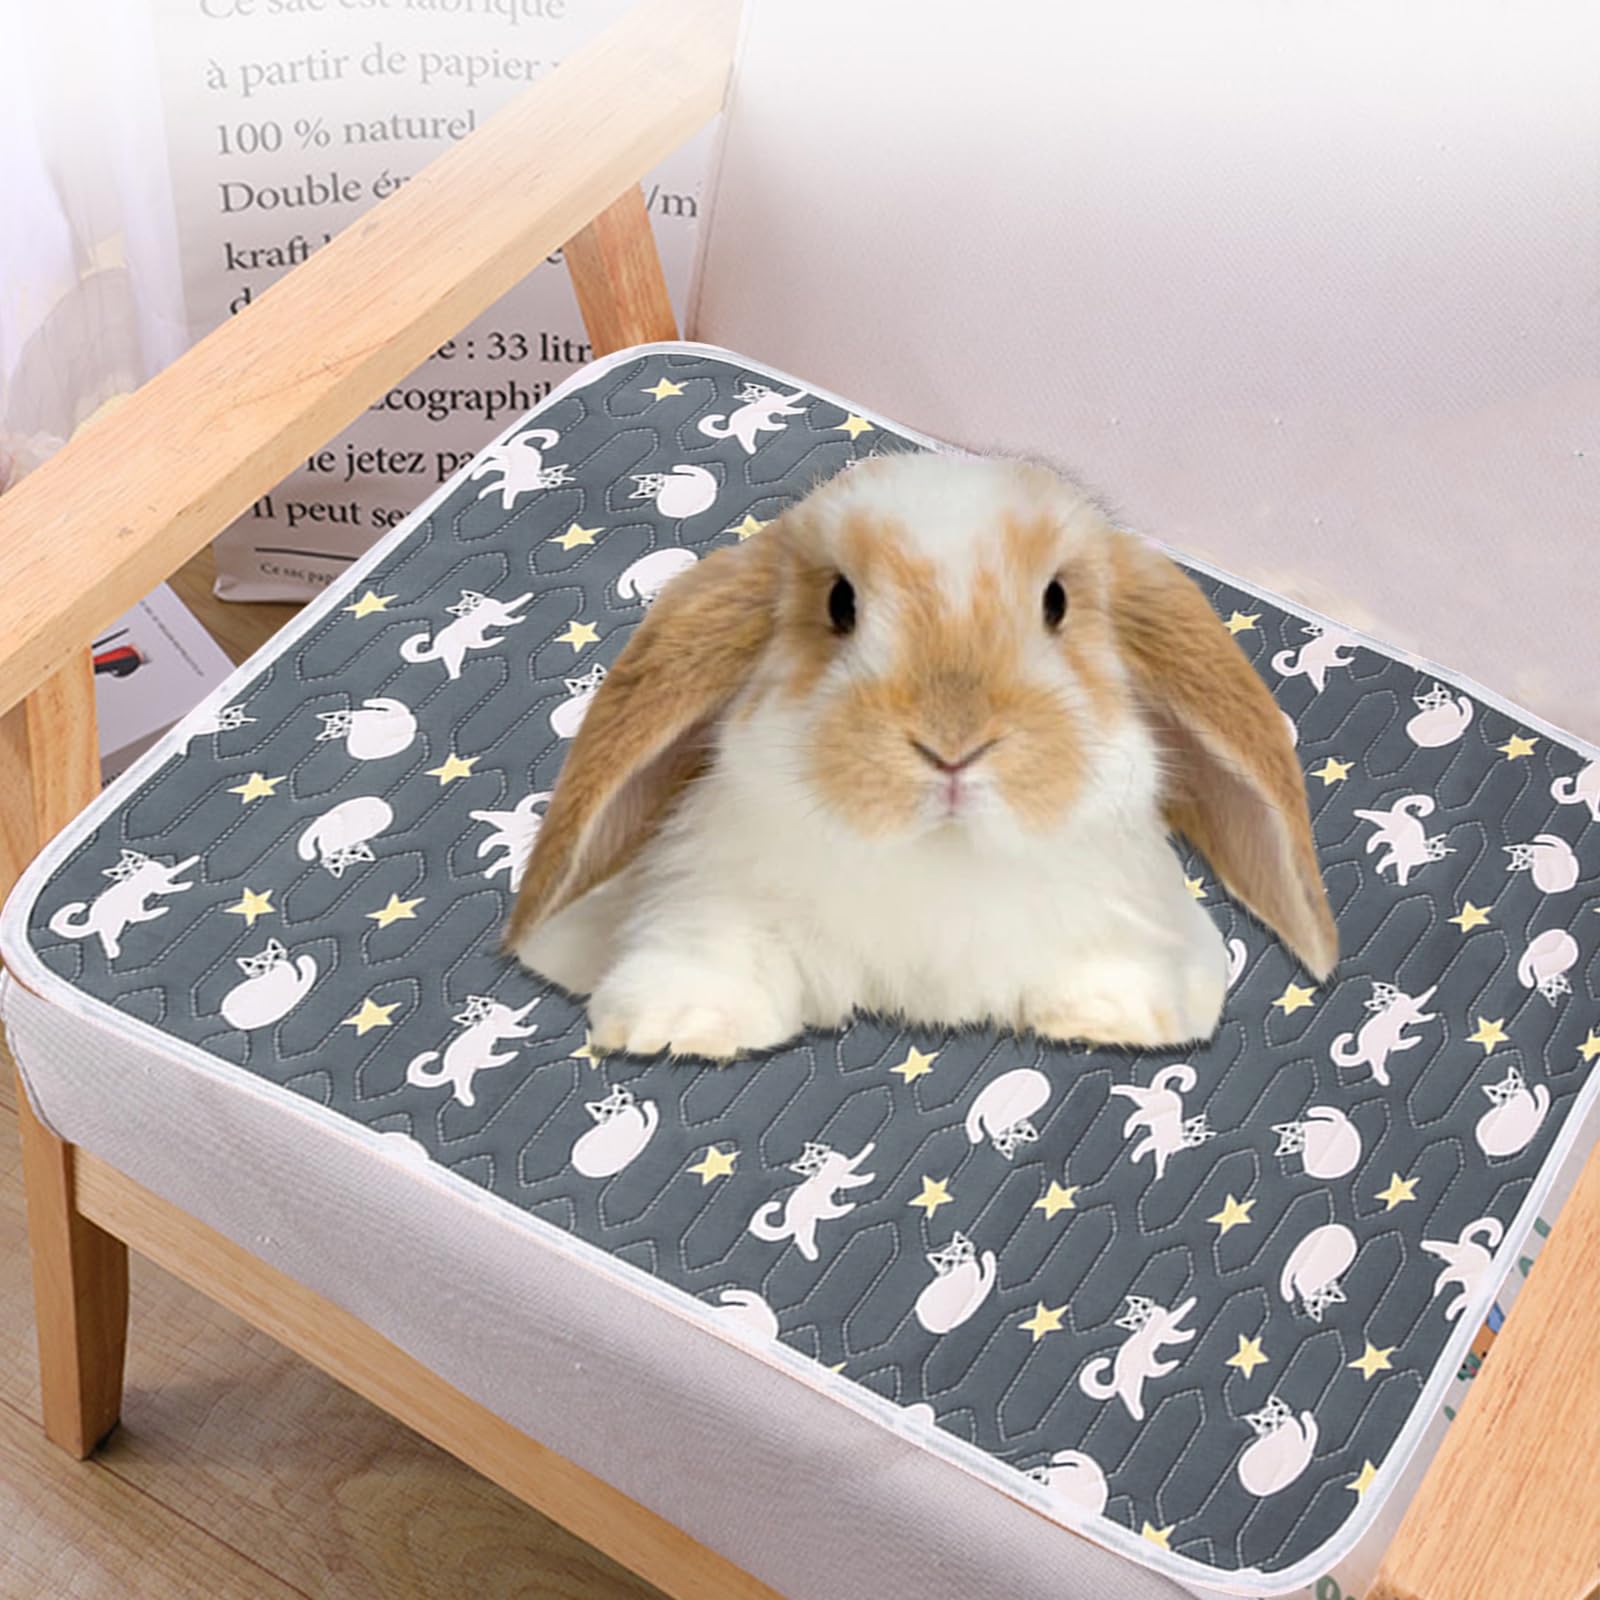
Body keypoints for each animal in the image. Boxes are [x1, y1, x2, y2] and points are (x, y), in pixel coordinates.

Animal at [506, 454, 1336, 1062]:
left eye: (1057, 602)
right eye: (840, 603)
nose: (952, 745)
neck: (942, 855)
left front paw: (1112, 1016)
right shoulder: (716, 894)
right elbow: (717, 951)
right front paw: (679, 1026)